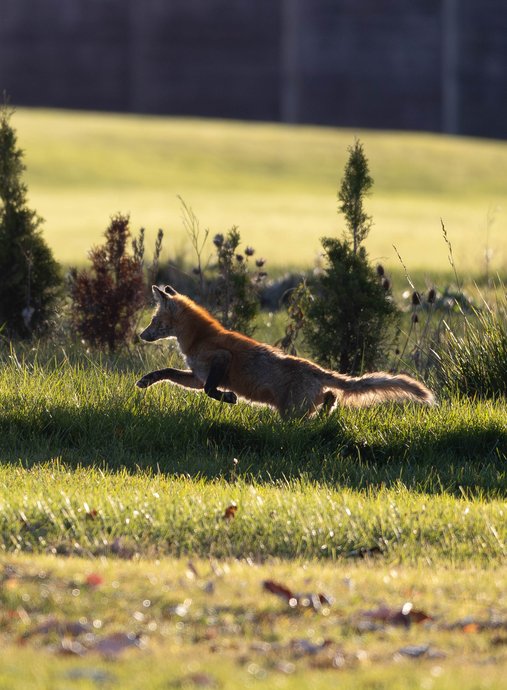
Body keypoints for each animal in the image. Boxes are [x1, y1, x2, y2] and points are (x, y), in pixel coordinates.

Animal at [136, 285, 435, 418]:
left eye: (153, 320)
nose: (140, 335)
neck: (200, 338)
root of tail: (318, 370)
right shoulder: (198, 376)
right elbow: (168, 371)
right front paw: (146, 380)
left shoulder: (220, 361)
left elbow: (212, 390)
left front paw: (230, 398)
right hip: (301, 407)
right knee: (328, 400)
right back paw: (330, 407)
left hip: (291, 412)